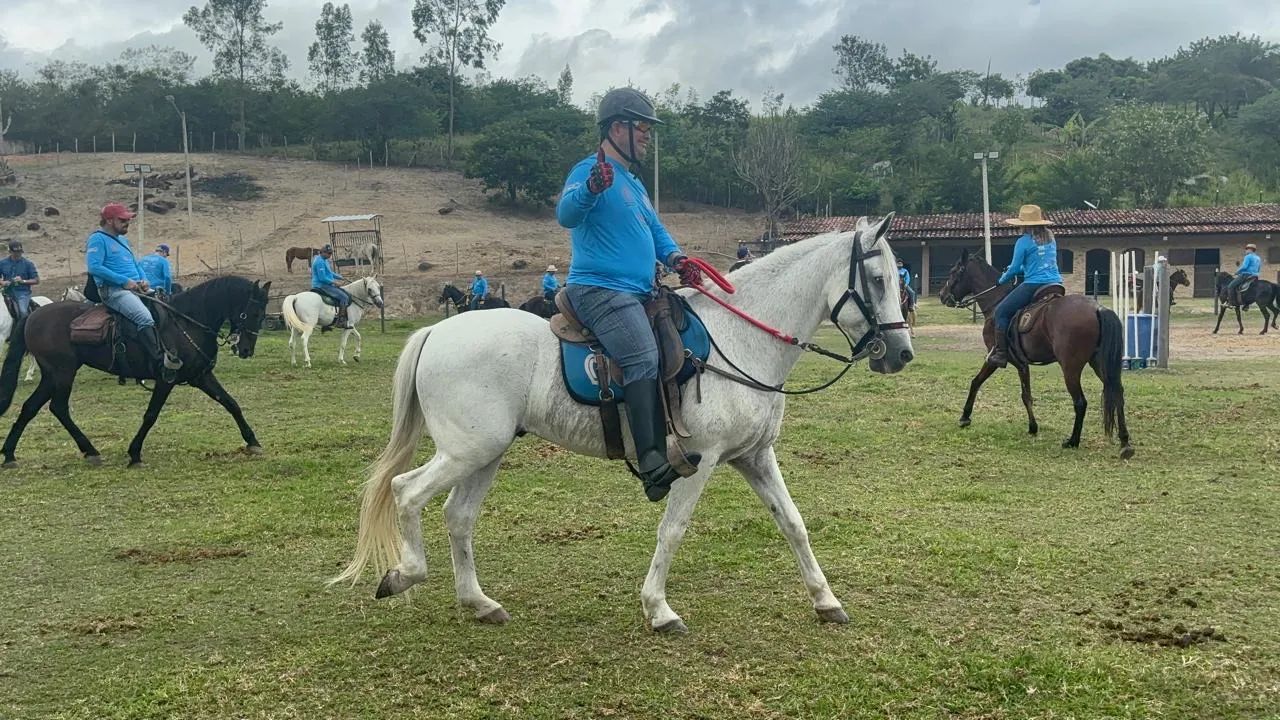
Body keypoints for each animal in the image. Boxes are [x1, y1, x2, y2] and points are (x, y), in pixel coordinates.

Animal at [0, 276, 271, 468]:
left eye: (263, 314)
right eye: (253, 312)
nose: (246, 350)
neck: (186, 322)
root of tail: (33, 315)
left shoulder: (201, 376)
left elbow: (231, 404)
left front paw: (253, 442)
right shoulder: (165, 380)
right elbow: (150, 415)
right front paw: (135, 453)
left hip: (52, 375)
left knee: (30, 407)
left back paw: (10, 454)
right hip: (63, 373)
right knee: (58, 408)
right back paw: (90, 451)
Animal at [329, 215, 914, 633]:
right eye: (878, 279)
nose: (901, 353)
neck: (740, 340)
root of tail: (436, 331)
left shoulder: (754, 456)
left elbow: (793, 523)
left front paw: (826, 601)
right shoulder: (701, 461)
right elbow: (673, 530)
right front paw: (659, 609)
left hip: (485, 453)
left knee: (458, 517)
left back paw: (479, 602)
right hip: (466, 451)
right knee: (406, 492)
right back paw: (405, 574)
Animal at [938, 249, 1133, 459]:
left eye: (953, 271)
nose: (942, 295)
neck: (996, 302)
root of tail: (1098, 308)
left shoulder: (993, 359)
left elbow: (976, 382)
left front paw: (965, 417)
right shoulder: (1022, 364)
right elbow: (1026, 395)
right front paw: (1033, 427)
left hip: (1071, 368)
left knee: (1080, 402)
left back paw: (1073, 441)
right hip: (1099, 364)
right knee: (1117, 393)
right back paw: (1125, 442)